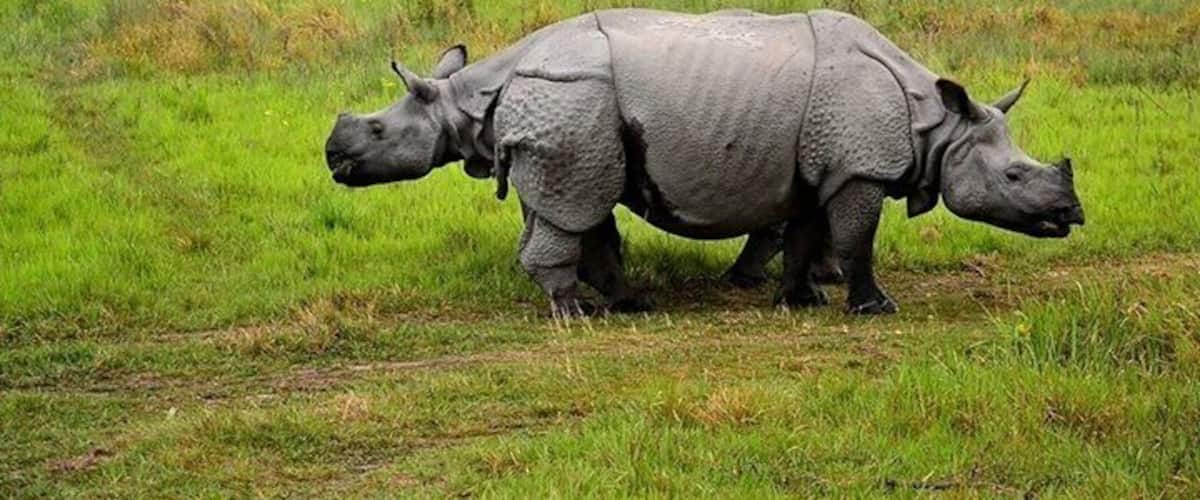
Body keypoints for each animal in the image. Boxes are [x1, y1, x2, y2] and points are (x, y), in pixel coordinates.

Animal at [324, 8, 1084, 317]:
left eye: (377, 130)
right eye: (1014, 177)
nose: (1072, 213)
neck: (938, 127)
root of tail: (522, 69)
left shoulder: (820, 166)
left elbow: (807, 231)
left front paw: (800, 300)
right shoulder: (858, 169)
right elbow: (857, 238)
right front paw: (874, 307)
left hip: (579, 107)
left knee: (583, 205)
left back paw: (626, 306)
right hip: (575, 102)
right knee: (578, 205)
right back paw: (579, 316)